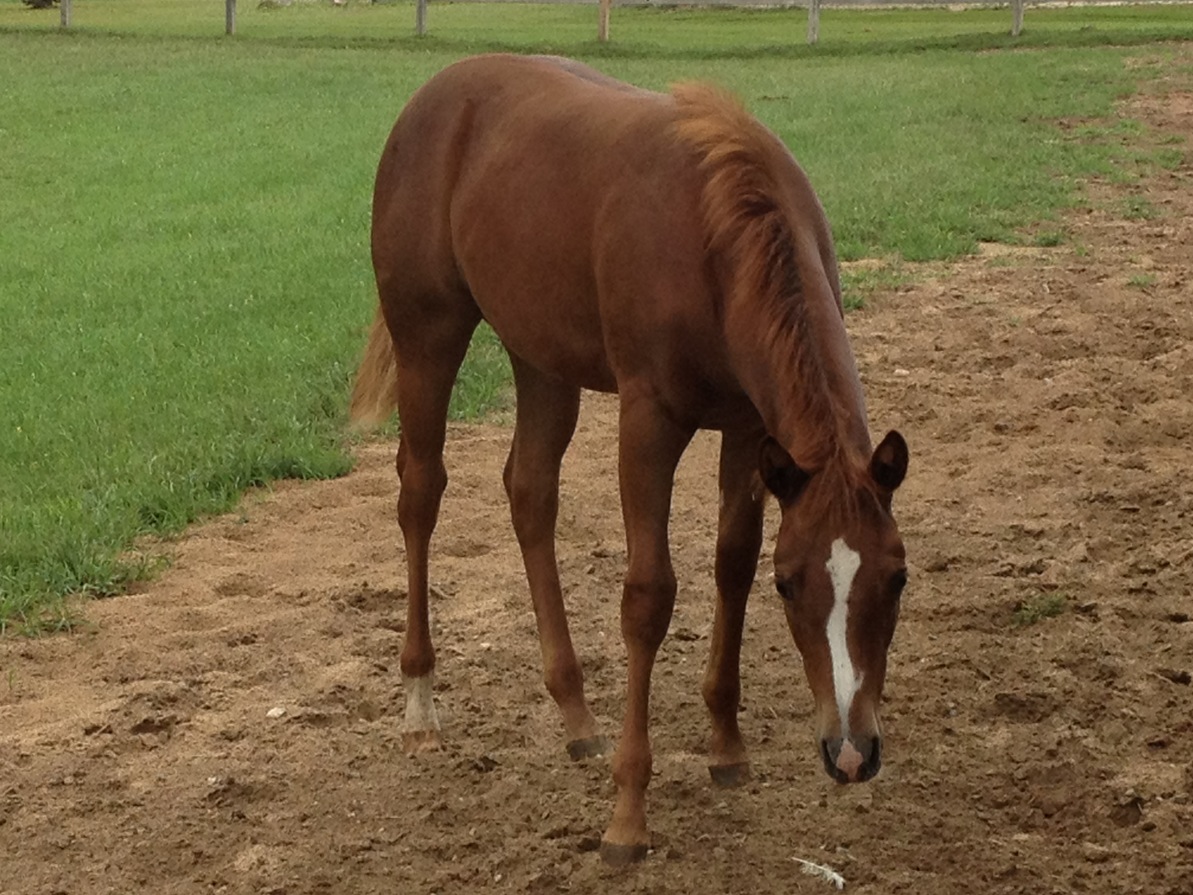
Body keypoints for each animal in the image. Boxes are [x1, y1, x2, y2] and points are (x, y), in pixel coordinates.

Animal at [350, 54, 910, 865]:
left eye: (897, 578)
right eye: (791, 583)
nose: (851, 751)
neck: (718, 236)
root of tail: (435, 95)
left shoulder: (748, 430)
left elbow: (729, 563)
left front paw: (725, 744)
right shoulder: (649, 423)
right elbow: (649, 596)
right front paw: (627, 814)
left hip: (540, 359)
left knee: (530, 492)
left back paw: (577, 713)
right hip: (429, 332)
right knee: (420, 493)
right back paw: (421, 706)